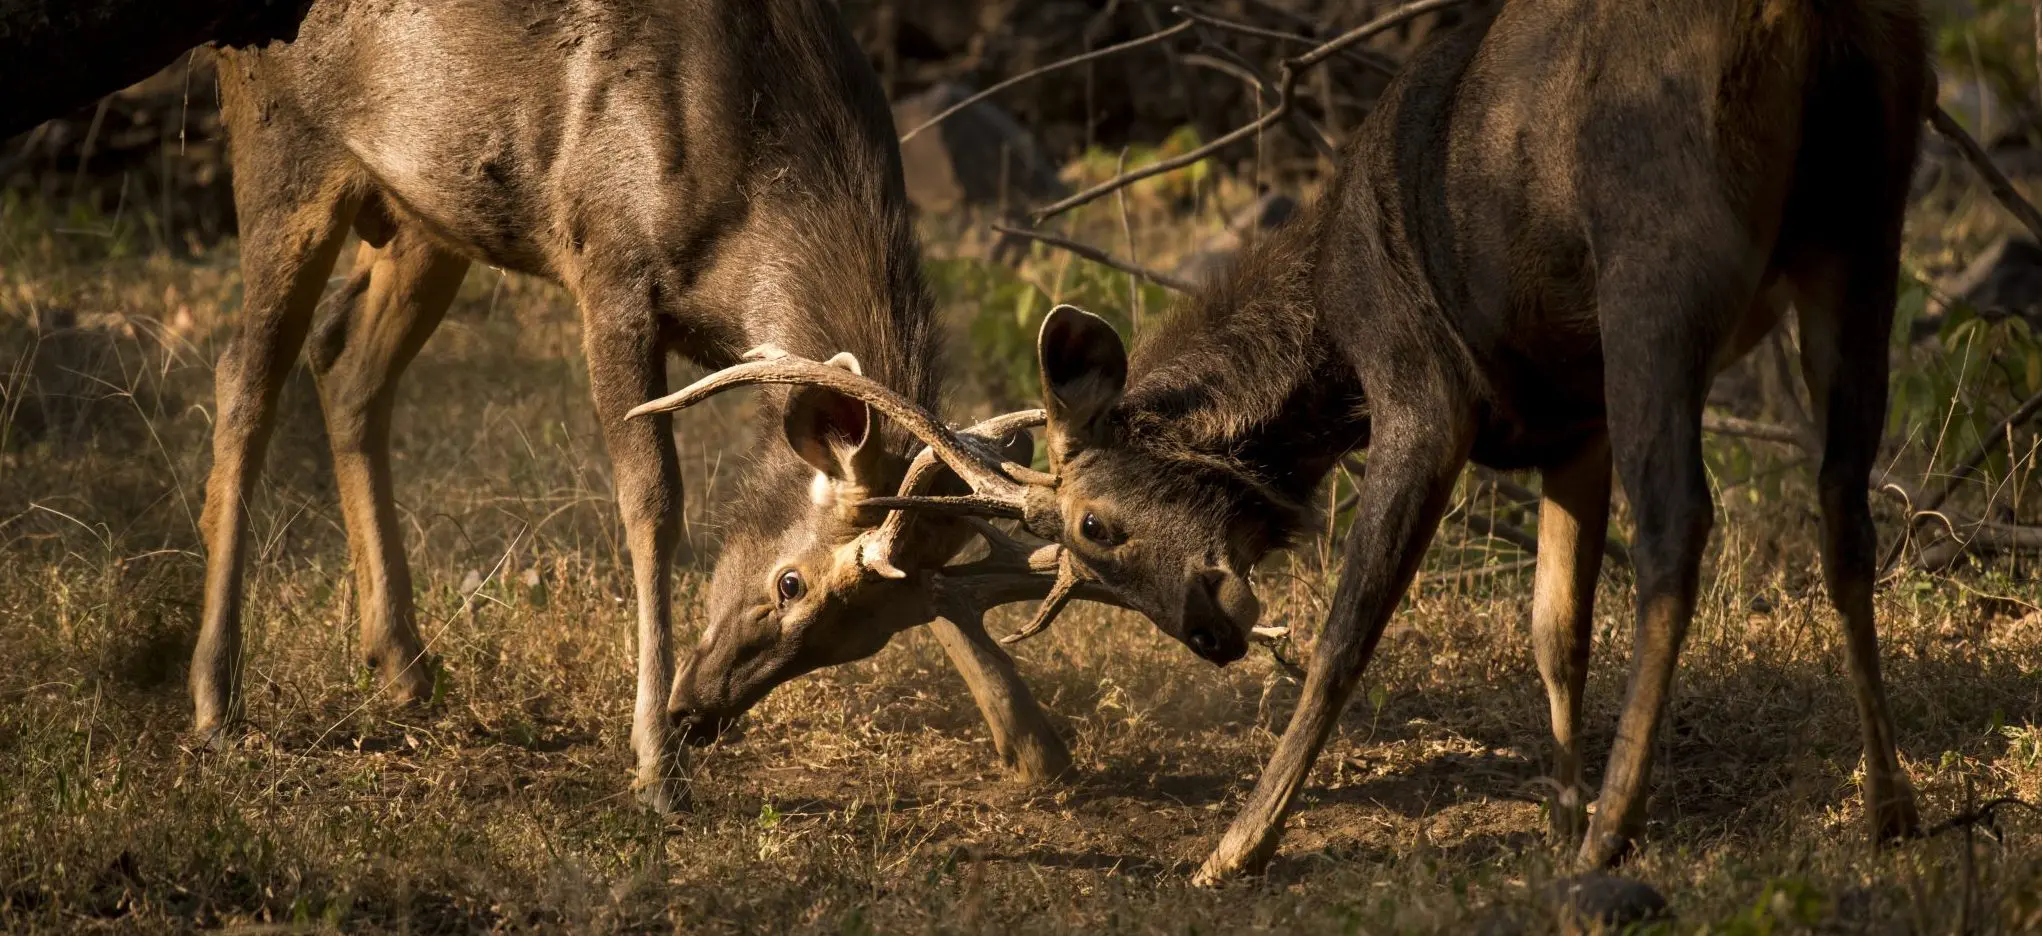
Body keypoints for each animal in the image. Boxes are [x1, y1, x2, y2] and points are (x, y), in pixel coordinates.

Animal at [193, 0, 1077, 811]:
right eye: (790, 583)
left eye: (871, 634)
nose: (700, 713)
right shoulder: (610, 266)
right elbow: (652, 500)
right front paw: (655, 762)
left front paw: (1034, 742)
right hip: (284, 151)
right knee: (243, 378)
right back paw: (214, 697)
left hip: (426, 214)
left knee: (349, 371)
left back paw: (403, 664)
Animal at [637, 0, 1932, 884]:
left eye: (1096, 525)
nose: (1211, 632)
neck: (1327, 326)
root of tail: (1798, 22)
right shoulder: (1570, 420)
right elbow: (1552, 626)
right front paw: (1555, 805)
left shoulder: (1423, 385)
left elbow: (1347, 631)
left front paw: (1238, 844)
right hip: (1865, 227)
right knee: (1843, 511)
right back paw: (1887, 804)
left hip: (1657, 258)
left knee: (1682, 529)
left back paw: (1615, 837)